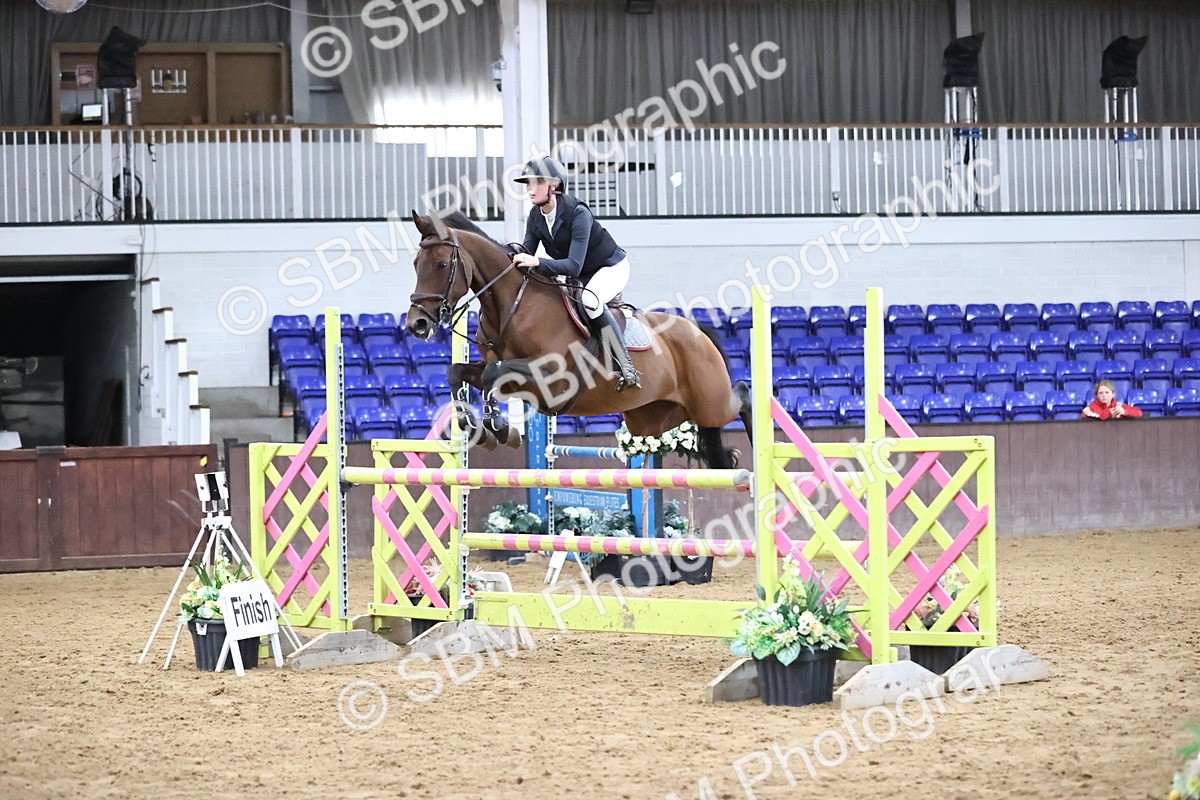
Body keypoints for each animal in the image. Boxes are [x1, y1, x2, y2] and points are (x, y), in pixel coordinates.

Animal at [405, 211, 752, 470]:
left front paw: (499, 427)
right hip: (653, 419)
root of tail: (697, 330)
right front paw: (476, 426)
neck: (512, 307)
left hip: (710, 403)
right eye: (415, 264)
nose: (416, 324)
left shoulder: (553, 378)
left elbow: (493, 375)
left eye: (442, 264)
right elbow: (459, 372)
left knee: (741, 396)